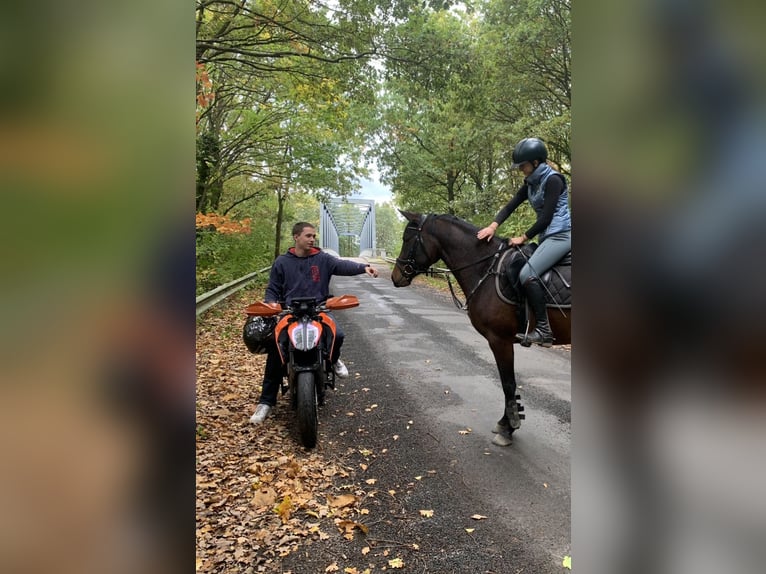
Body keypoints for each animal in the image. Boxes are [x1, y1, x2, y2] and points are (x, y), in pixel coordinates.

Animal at [392, 210, 572, 446]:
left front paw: (509, 427)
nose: (396, 276)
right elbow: (508, 384)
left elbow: (508, 384)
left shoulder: (500, 340)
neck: (487, 269)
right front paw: (506, 423)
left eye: (407, 239)